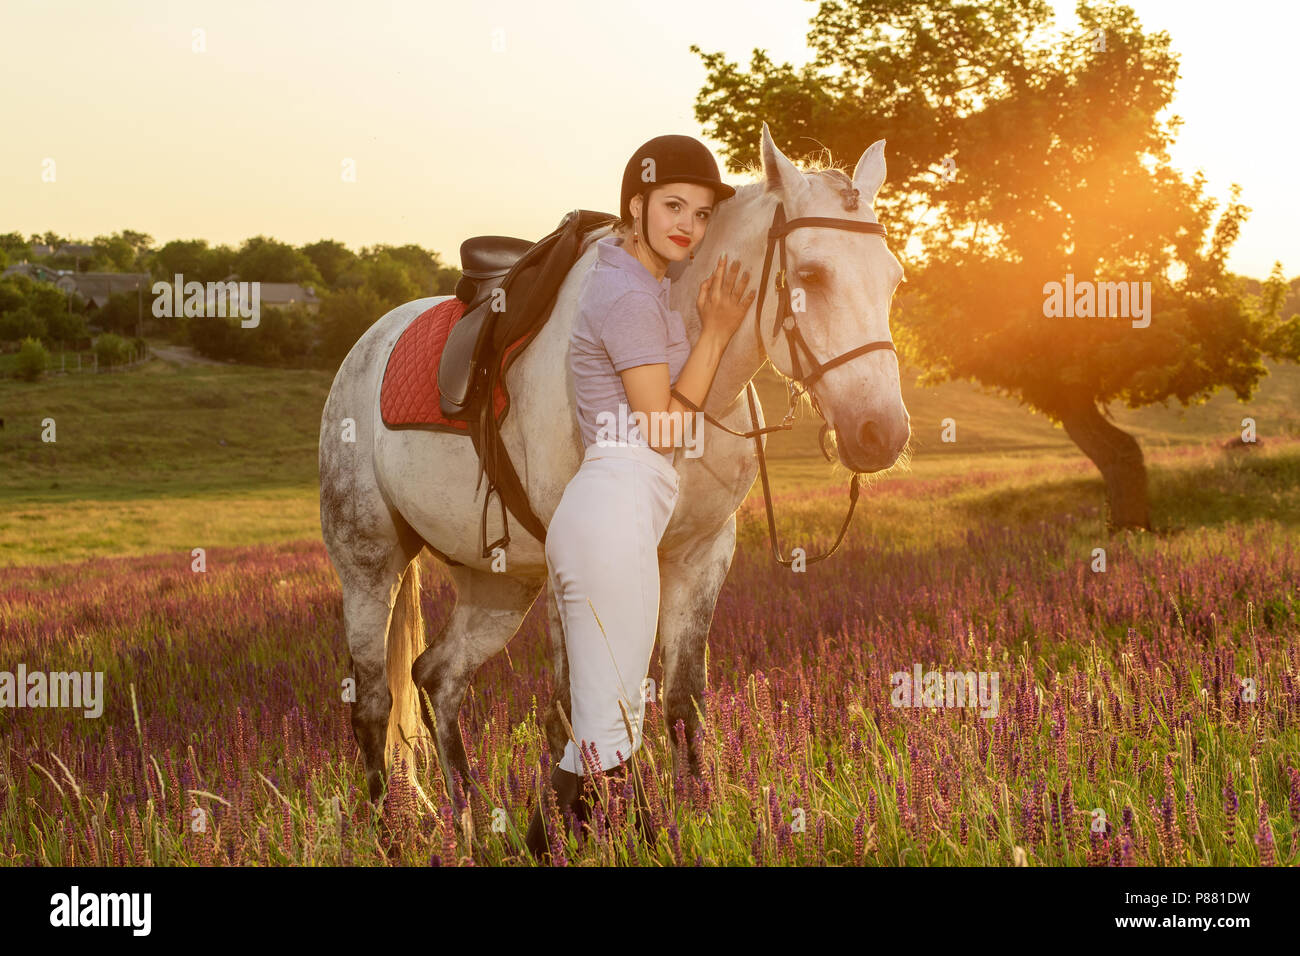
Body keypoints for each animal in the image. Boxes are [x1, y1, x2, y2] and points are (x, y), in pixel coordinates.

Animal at [318, 121, 909, 822]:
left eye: (894, 279)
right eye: (812, 274)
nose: (882, 432)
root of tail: (367, 344)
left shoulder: (700, 555)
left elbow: (680, 700)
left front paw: (692, 816)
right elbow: (576, 708)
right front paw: (599, 824)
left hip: (499, 585)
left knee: (439, 675)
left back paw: (470, 822)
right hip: (369, 565)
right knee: (374, 703)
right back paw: (396, 829)